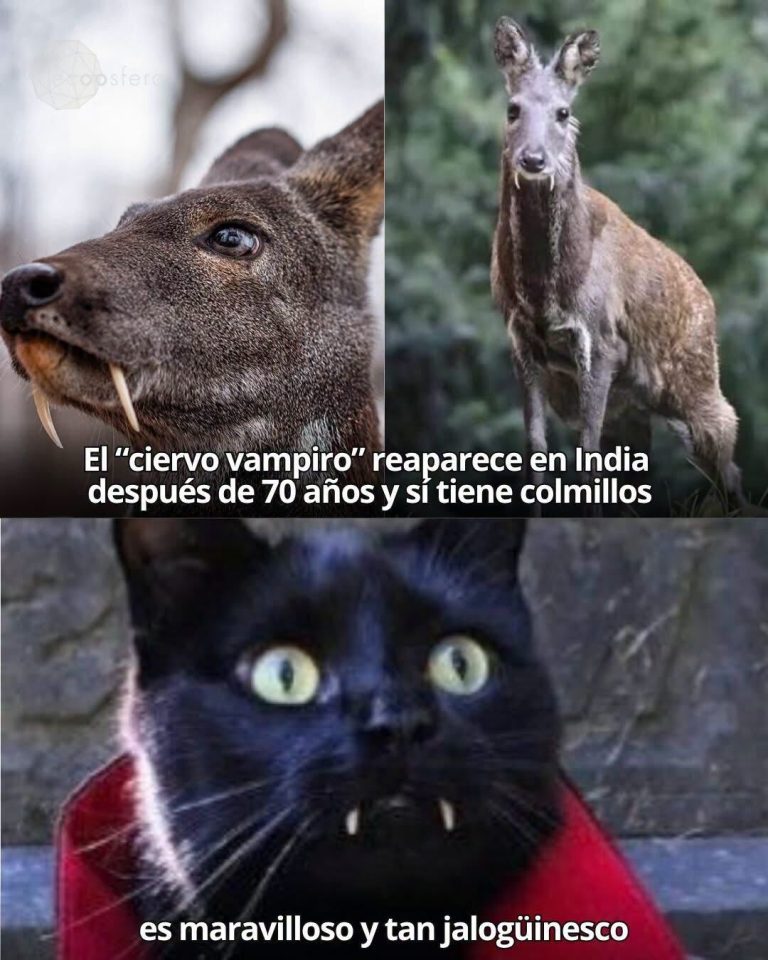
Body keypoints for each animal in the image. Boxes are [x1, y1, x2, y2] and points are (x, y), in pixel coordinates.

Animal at [490, 18, 743, 506]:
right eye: (513, 109)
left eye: (563, 112)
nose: (533, 159)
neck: (545, 291)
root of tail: (706, 296)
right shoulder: (521, 342)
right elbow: (535, 449)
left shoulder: (602, 340)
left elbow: (586, 451)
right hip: (629, 406)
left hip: (697, 375)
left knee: (728, 447)